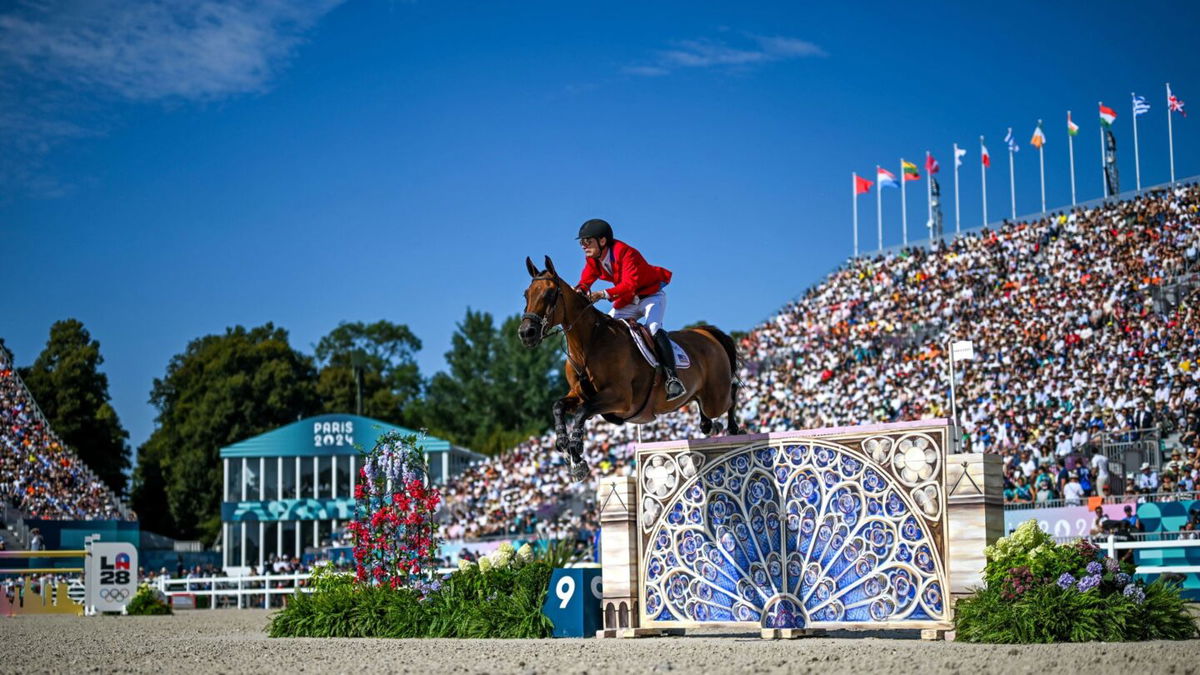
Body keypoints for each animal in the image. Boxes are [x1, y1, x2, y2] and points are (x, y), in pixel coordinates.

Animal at [518, 254, 739, 480]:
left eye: (549, 293)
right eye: (526, 295)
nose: (526, 333)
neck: (588, 345)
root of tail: (707, 334)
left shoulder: (620, 398)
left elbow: (582, 411)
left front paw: (576, 449)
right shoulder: (579, 394)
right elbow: (559, 406)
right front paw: (566, 447)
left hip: (715, 397)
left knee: (731, 392)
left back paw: (732, 427)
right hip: (702, 394)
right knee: (702, 402)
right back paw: (708, 425)